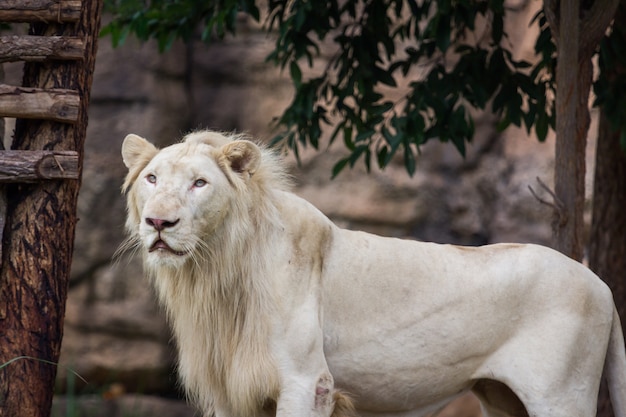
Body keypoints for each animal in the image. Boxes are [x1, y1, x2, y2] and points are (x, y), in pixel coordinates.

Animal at [120, 130, 624, 416]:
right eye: (152, 179)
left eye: (199, 183)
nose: (159, 223)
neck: (215, 271)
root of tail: (602, 284)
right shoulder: (230, 391)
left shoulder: (307, 382)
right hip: (503, 400)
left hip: (560, 395)